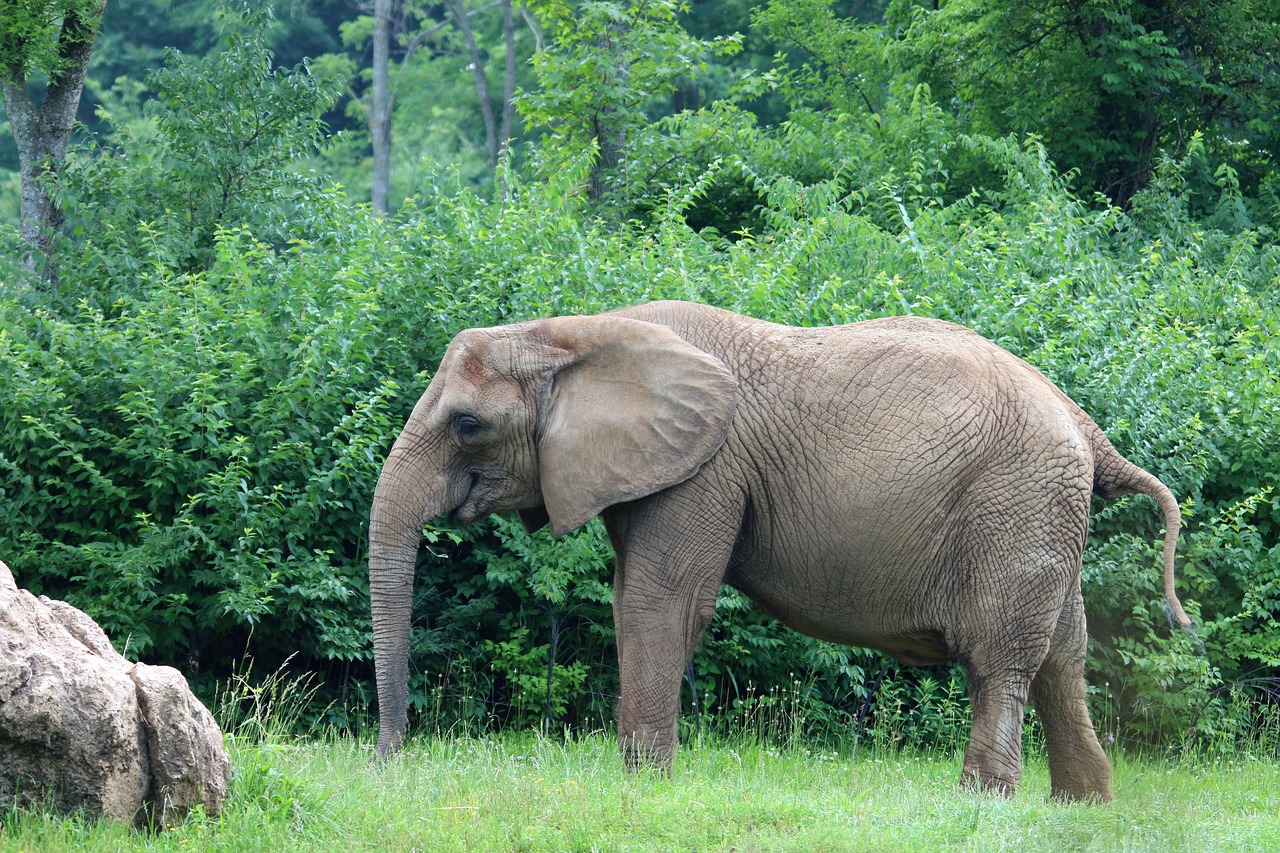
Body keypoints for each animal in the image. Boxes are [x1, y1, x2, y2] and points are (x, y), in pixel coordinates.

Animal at [368, 297, 1187, 799]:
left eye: (467, 424)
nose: (387, 762)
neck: (576, 332)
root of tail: (1089, 430)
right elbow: (633, 596)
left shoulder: (706, 467)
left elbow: (663, 603)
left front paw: (643, 786)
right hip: (1043, 513)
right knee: (1062, 654)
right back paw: (1082, 807)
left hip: (1014, 504)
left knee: (1001, 656)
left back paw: (981, 804)